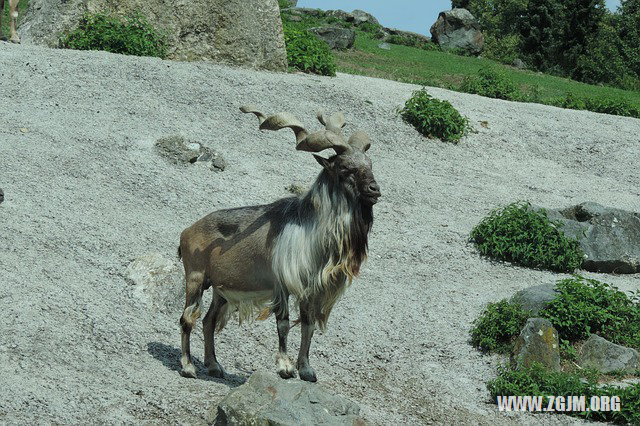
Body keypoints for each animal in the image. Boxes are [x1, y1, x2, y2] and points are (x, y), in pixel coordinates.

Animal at [178, 105, 380, 382]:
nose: (375, 189)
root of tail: (187, 231)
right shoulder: (282, 286)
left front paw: (306, 370)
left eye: (369, 164)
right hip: (195, 278)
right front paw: (285, 367)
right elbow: (283, 324)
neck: (310, 232)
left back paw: (214, 366)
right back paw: (188, 366)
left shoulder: (310, 291)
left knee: (208, 321)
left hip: (220, 290)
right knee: (187, 318)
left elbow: (308, 326)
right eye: (345, 168)